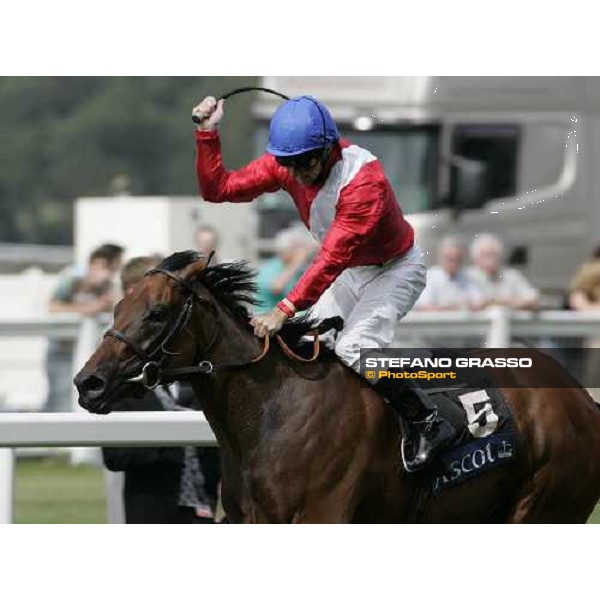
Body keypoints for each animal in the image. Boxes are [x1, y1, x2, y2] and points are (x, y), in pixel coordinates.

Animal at [75, 251, 600, 524]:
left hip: (546, 507)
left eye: (157, 313)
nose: (88, 383)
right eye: (116, 306)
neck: (273, 410)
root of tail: (579, 396)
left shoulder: (321, 516)